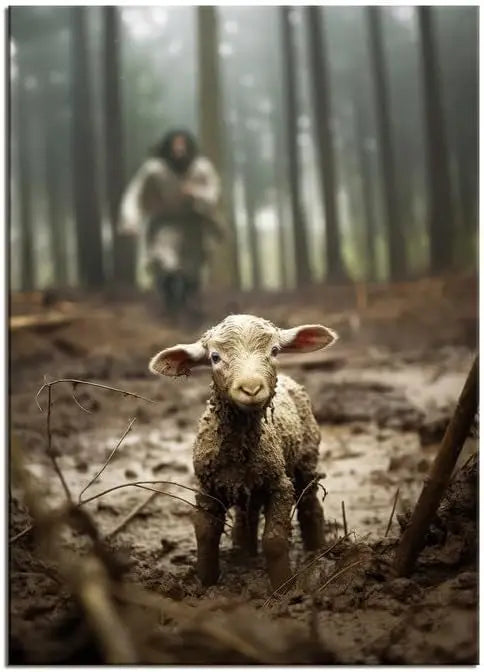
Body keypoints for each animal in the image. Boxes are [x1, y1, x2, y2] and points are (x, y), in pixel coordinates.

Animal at [149, 314, 338, 591]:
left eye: (275, 350)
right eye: (215, 357)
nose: (251, 389)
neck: (238, 449)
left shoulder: (280, 486)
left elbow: (274, 540)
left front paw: (283, 587)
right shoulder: (207, 488)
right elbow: (205, 535)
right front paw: (205, 583)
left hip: (306, 459)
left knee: (310, 503)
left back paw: (318, 550)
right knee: (246, 514)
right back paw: (243, 552)